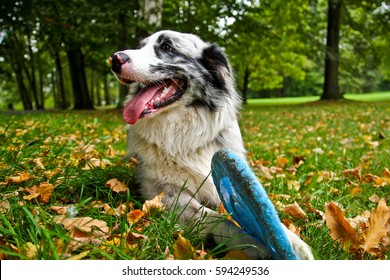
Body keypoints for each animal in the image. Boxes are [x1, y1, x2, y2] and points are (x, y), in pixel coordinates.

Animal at [109, 30, 314, 260]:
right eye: (140, 46)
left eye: (167, 47)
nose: (115, 59)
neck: (184, 134)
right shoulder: (168, 194)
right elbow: (219, 219)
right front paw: (256, 243)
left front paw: (292, 241)